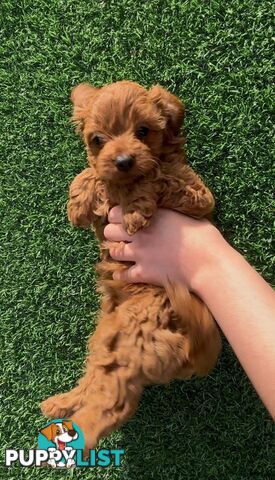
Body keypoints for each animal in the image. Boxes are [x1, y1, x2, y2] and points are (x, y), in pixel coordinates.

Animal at [40, 80, 222, 452]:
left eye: (143, 131)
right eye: (98, 139)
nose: (123, 160)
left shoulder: (198, 197)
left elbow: (156, 175)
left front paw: (135, 206)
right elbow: (91, 174)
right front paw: (79, 200)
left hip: (132, 337)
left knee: (113, 402)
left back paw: (78, 431)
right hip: (105, 340)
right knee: (94, 381)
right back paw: (61, 404)